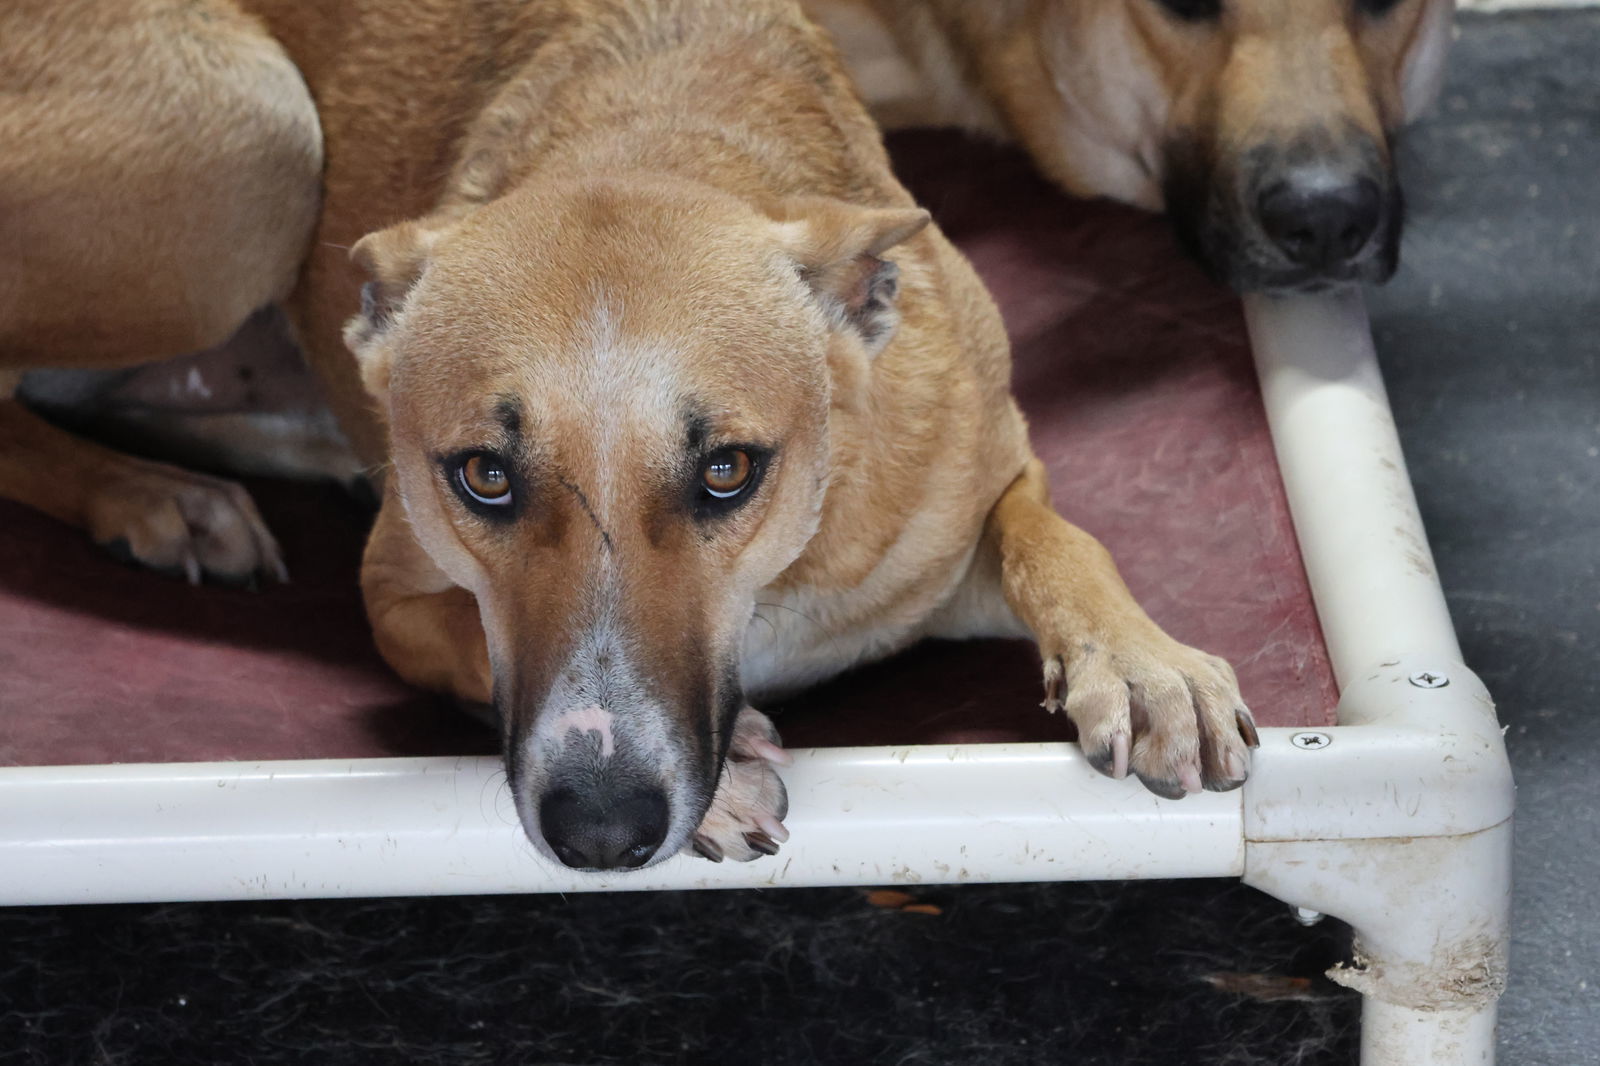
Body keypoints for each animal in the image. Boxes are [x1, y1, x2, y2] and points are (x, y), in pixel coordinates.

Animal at [3, 0, 1260, 870]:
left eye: (727, 469)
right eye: (484, 475)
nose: (602, 829)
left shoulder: (973, 484)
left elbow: (1058, 535)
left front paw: (1143, 662)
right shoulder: (396, 598)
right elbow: (471, 643)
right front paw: (735, 775)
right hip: (254, 149)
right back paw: (152, 496)